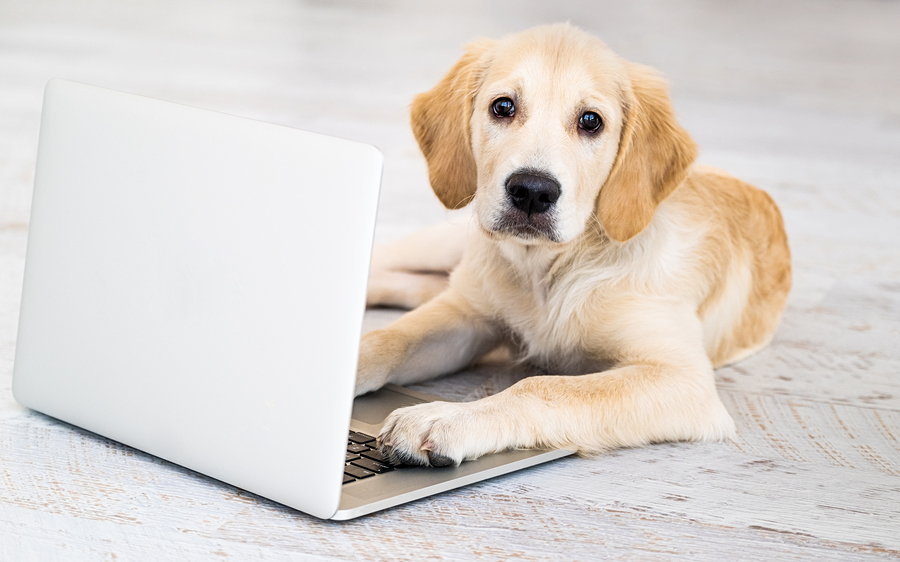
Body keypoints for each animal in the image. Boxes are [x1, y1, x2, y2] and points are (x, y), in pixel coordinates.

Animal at [356, 24, 792, 466]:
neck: (550, 270)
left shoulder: (681, 377)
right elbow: (388, 339)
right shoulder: (467, 315)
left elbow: (543, 386)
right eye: (502, 106)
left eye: (590, 121)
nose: (532, 191)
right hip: (456, 244)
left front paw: (444, 418)